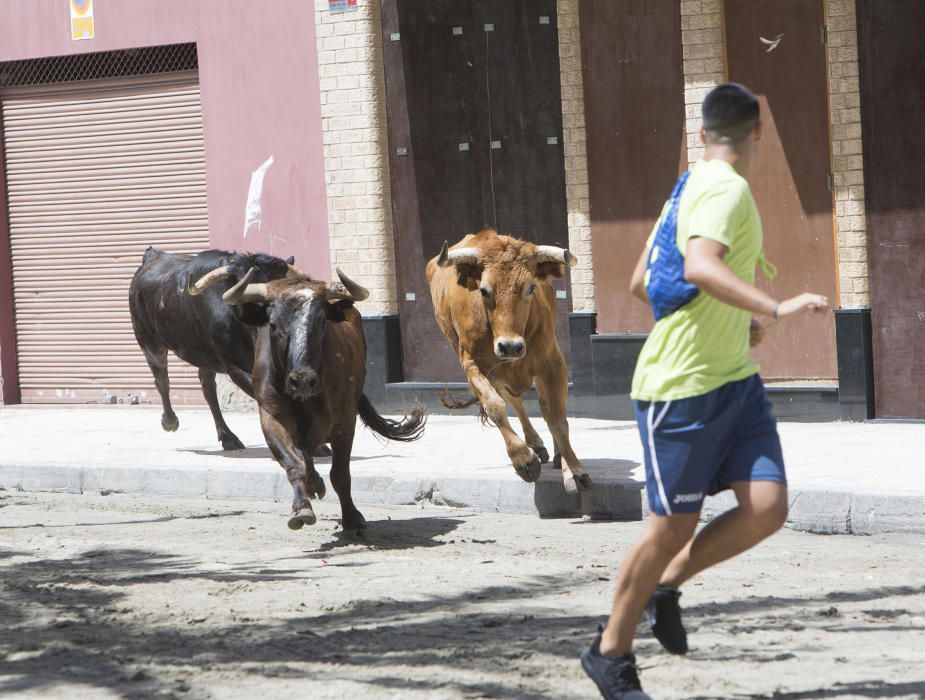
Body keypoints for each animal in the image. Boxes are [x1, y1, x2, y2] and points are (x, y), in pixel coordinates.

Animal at [197, 262, 428, 532]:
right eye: (273, 325)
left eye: (322, 324)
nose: (303, 380)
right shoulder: (272, 417)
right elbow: (294, 461)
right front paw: (302, 507)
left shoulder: (344, 423)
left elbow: (339, 473)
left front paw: (352, 518)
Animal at [428, 230, 592, 492]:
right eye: (484, 290)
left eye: (531, 287)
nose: (510, 346)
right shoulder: (472, 366)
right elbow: (496, 407)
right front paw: (523, 459)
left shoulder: (552, 364)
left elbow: (557, 418)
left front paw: (574, 470)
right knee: (514, 401)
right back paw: (534, 445)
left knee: (544, 406)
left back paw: (556, 454)